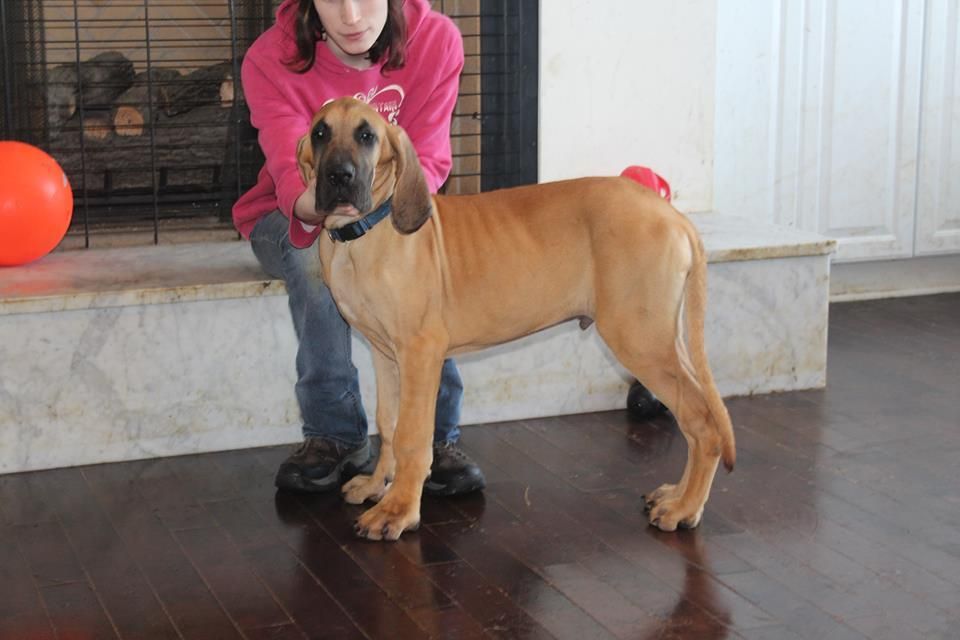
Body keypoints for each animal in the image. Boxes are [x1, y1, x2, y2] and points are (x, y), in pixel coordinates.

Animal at [295, 97, 735, 541]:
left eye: (367, 135)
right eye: (320, 133)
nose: (339, 176)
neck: (364, 232)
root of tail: (672, 213)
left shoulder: (420, 352)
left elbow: (411, 436)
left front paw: (398, 510)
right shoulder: (385, 353)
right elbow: (388, 422)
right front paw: (377, 485)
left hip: (639, 337)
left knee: (702, 422)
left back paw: (684, 509)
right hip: (663, 337)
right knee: (699, 415)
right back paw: (676, 495)